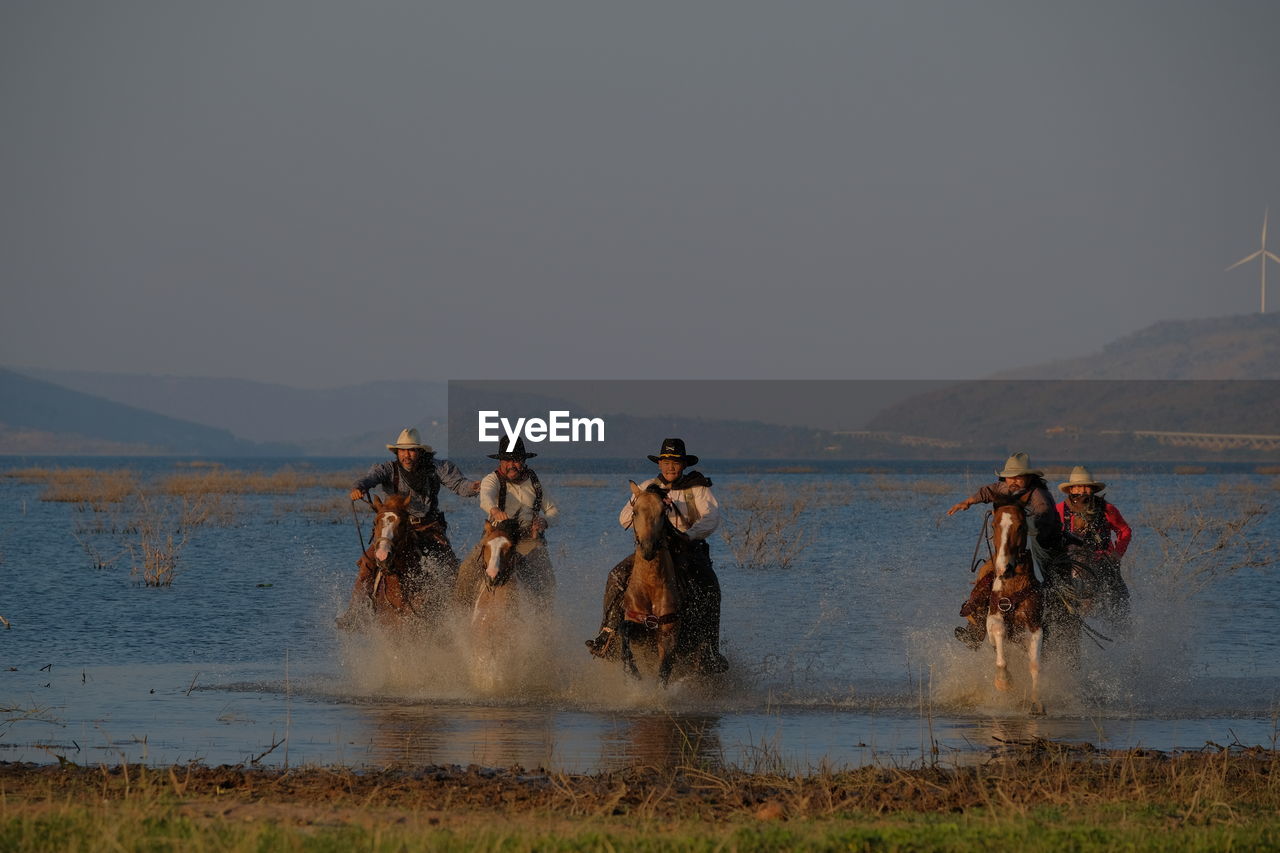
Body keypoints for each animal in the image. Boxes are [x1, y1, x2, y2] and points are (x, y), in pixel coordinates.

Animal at [616, 479, 686, 686]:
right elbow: (624, 629)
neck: (650, 586)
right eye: (635, 512)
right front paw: (631, 671)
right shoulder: (637, 625)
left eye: (663, 512)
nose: (648, 549)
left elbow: (664, 669)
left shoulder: (668, 632)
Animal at [977, 502, 1039, 712]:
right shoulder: (994, 618)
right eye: (994, 525)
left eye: (1020, 526)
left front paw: (1037, 703)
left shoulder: (1035, 624)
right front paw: (1003, 682)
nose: (1004, 567)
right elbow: (999, 636)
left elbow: (1034, 664)